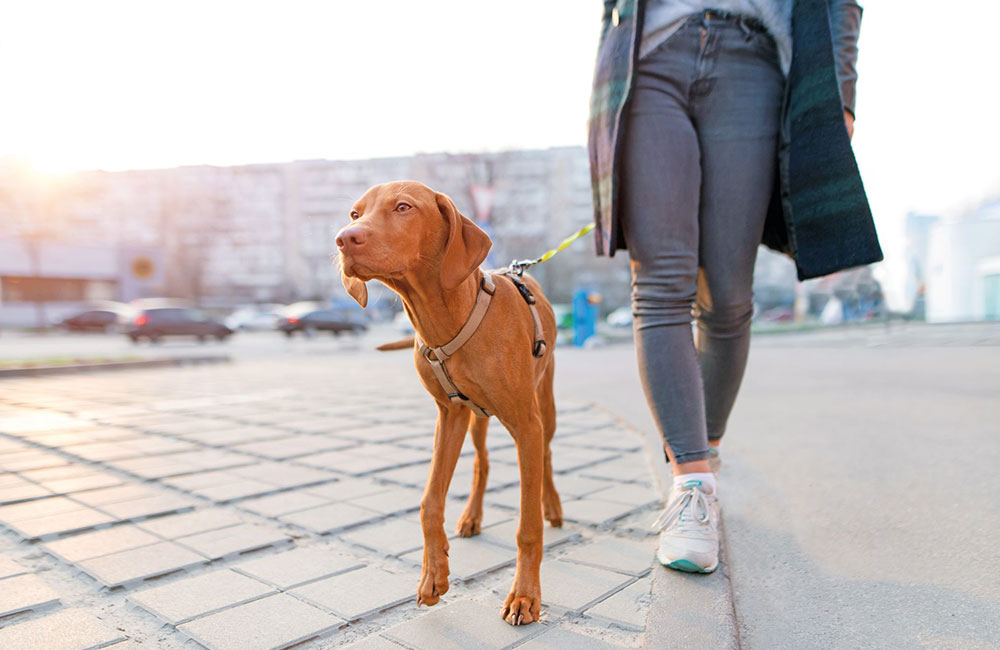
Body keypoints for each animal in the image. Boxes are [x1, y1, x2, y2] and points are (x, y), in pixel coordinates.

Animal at [338, 178, 564, 624]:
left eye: (403, 207)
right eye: (356, 213)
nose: (343, 238)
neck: (448, 320)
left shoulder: (525, 424)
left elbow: (527, 527)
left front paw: (524, 597)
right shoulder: (449, 415)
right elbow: (429, 501)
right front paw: (433, 576)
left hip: (544, 407)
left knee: (546, 455)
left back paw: (552, 505)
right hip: (477, 420)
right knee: (481, 462)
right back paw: (472, 516)